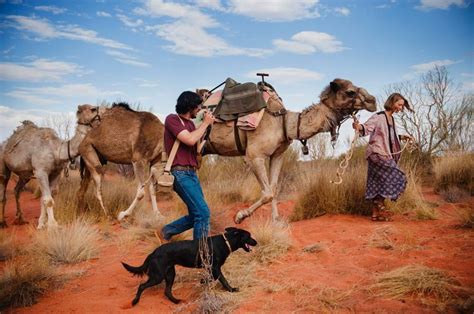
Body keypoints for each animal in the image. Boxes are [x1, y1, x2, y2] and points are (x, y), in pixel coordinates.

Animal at [120, 228, 258, 304]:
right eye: (249, 236)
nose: (256, 242)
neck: (226, 242)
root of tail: (153, 253)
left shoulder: (210, 268)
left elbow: (211, 278)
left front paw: (203, 281)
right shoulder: (215, 268)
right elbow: (223, 280)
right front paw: (232, 290)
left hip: (170, 274)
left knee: (167, 291)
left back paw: (176, 301)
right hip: (158, 276)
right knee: (142, 286)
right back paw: (135, 301)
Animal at [202, 79, 376, 224]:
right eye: (350, 92)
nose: (372, 101)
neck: (283, 122)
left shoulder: (277, 155)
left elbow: (273, 189)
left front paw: (276, 220)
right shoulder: (254, 155)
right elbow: (267, 193)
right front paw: (240, 216)